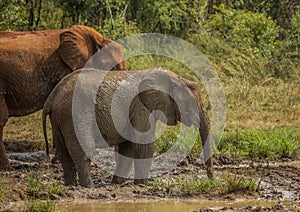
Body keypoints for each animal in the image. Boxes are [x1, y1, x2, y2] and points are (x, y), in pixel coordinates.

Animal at [42, 68, 213, 187]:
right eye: (191, 103)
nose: (210, 180)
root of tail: (52, 97)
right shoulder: (141, 107)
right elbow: (144, 146)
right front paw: (143, 185)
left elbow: (128, 148)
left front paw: (117, 183)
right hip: (76, 114)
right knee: (84, 151)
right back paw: (89, 187)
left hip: (60, 118)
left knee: (63, 153)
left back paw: (72, 185)